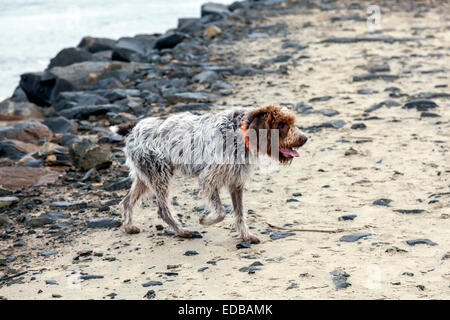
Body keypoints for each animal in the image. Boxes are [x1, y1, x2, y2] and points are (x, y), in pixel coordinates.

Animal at [114, 105, 308, 242]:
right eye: (281, 125)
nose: (304, 138)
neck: (238, 132)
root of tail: (134, 129)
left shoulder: (236, 182)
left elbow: (239, 213)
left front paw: (245, 236)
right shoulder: (207, 179)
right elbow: (221, 212)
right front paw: (205, 220)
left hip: (146, 176)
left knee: (127, 201)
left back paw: (129, 226)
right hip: (159, 174)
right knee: (162, 209)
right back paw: (181, 231)